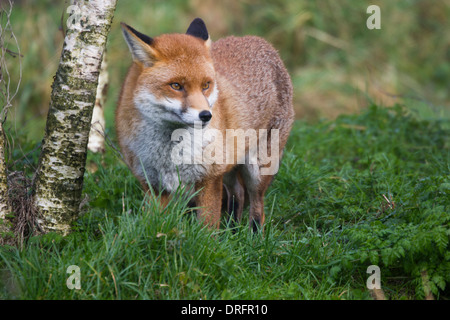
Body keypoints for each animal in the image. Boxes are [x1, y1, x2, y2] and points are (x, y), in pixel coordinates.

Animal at [115, 18, 296, 230]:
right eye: (176, 86)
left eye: (206, 85)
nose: (206, 116)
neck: (169, 152)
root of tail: (263, 42)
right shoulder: (152, 183)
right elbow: (153, 224)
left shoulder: (209, 177)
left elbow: (206, 227)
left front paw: (208, 239)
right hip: (230, 168)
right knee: (238, 193)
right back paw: (232, 230)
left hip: (257, 169)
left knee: (257, 204)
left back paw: (254, 234)